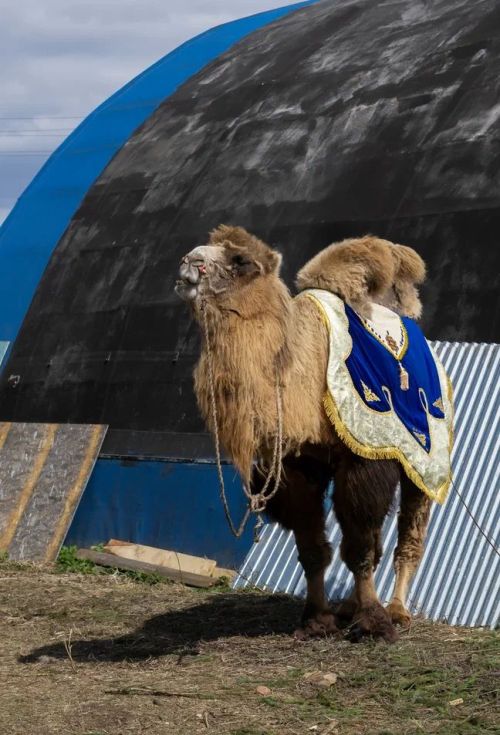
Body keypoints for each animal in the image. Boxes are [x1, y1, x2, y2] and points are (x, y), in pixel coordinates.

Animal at [176, 225, 434, 642]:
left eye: (240, 260)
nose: (189, 260)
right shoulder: (297, 463)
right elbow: (313, 548)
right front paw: (317, 620)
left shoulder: (362, 456)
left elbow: (358, 546)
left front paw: (374, 623)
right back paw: (350, 606)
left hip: (424, 460)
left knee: (410, 532)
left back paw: (397, 611)